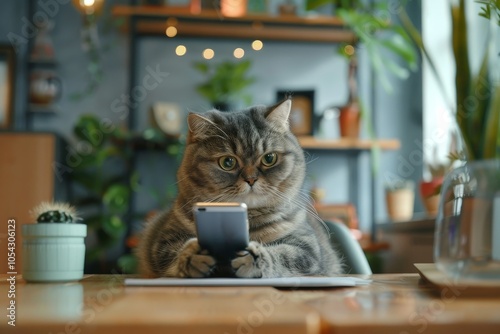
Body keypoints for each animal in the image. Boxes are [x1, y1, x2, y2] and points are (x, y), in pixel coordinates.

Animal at [139, 100, 346, 280]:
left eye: (269, 158)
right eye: (227, 162)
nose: (251, 179)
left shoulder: (308, 247)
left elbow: (284, 254)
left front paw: (254, 259)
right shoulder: (164, 241)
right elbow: (172, 253)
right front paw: (192, 256)